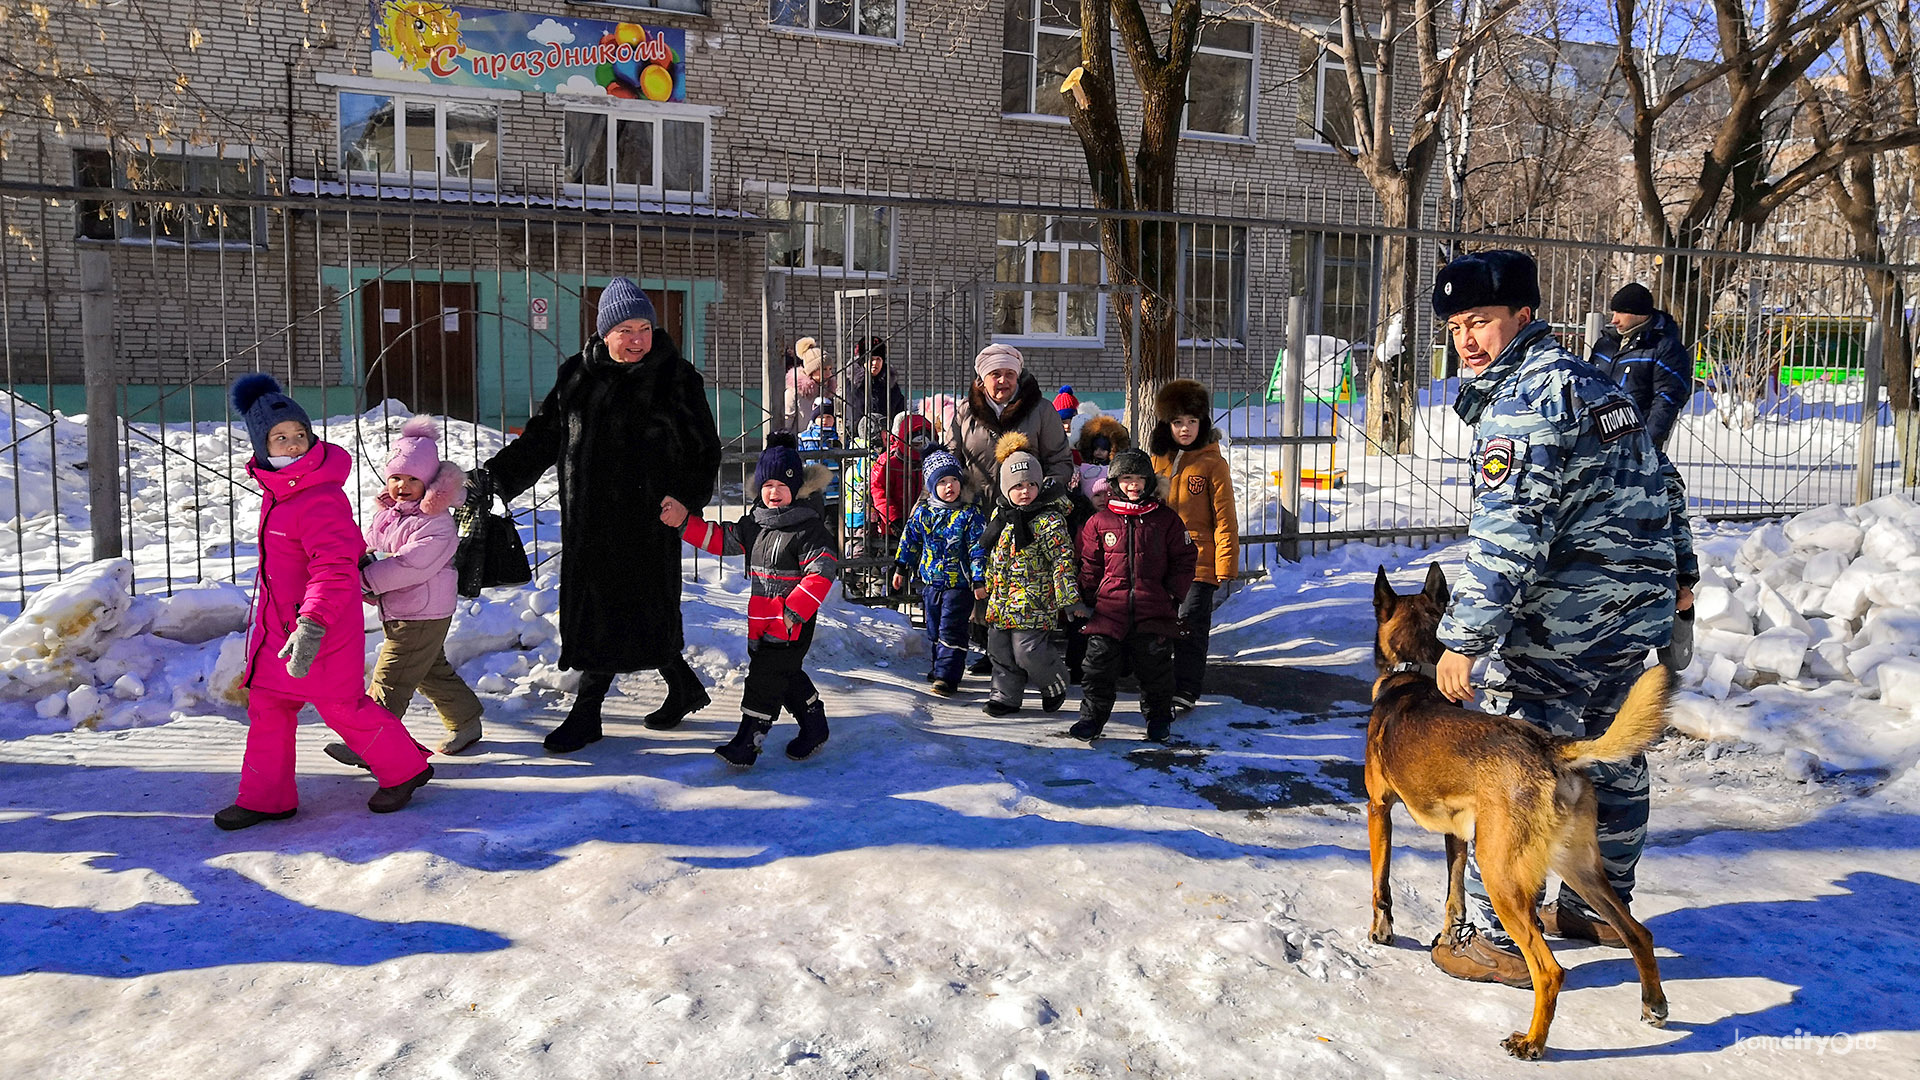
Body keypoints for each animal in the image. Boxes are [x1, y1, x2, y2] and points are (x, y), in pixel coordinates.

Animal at [1367, 564, 1666, 1060]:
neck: (1414, 676)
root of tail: (1551, 748)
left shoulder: (1378, 810)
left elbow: (1382, 883)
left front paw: (1382, 931)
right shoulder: (1456, 835)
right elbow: (1454, 896)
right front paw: (1448, 940)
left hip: (1501, 876)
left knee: (1549, 971)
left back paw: (1532, 1042)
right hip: (1579, 869)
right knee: (1636, 932)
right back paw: (1653, 1004)